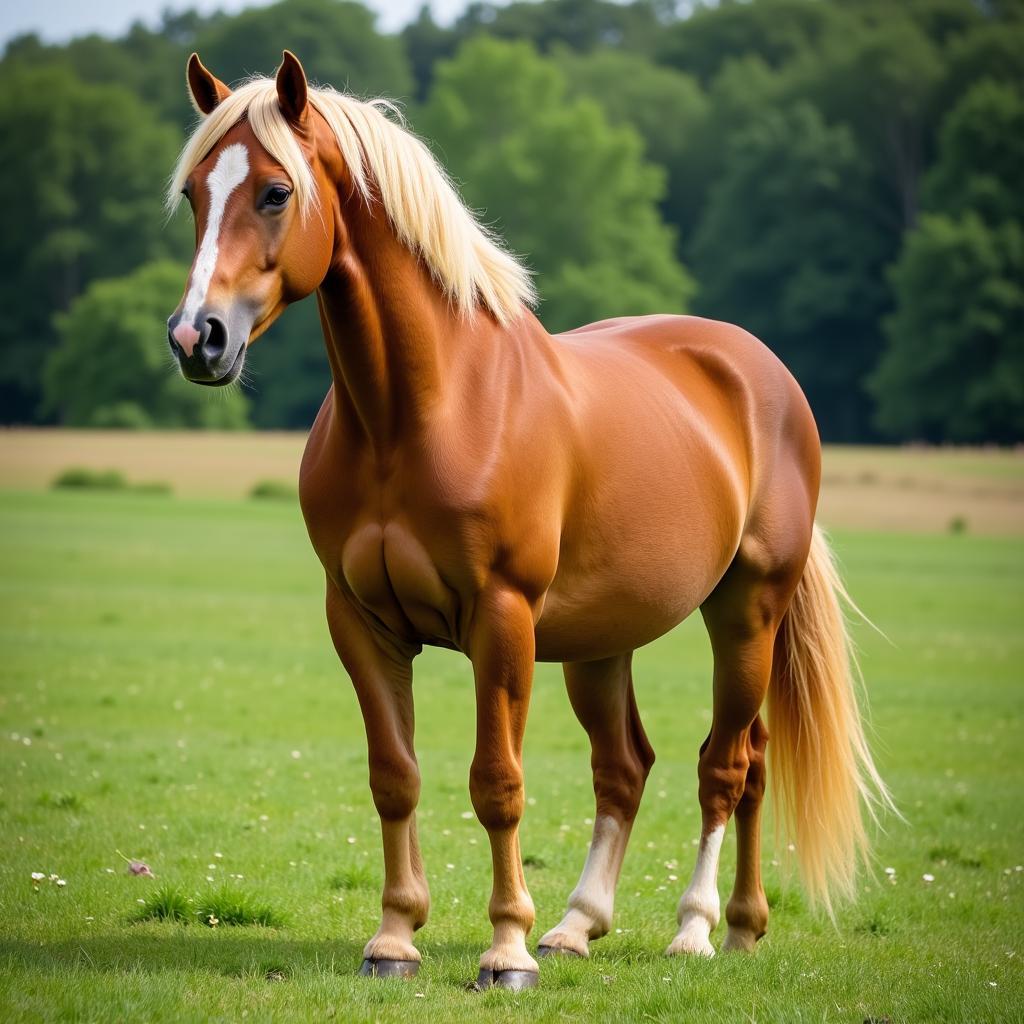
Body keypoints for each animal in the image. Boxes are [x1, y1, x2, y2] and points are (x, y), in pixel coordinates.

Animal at [163, 51, 892, 987]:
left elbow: (496, 783)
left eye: (276, 191)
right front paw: (395, 938)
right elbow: (394, 776)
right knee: (636, 768)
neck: (421, 411)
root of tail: (762, 371)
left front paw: (505, 948)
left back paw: (697, 929)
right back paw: (614, 926)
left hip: (745, 613)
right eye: (194, 194)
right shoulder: (360, 621)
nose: (198, 338)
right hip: (601, 641)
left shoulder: (502, 621)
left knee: (727, 765)